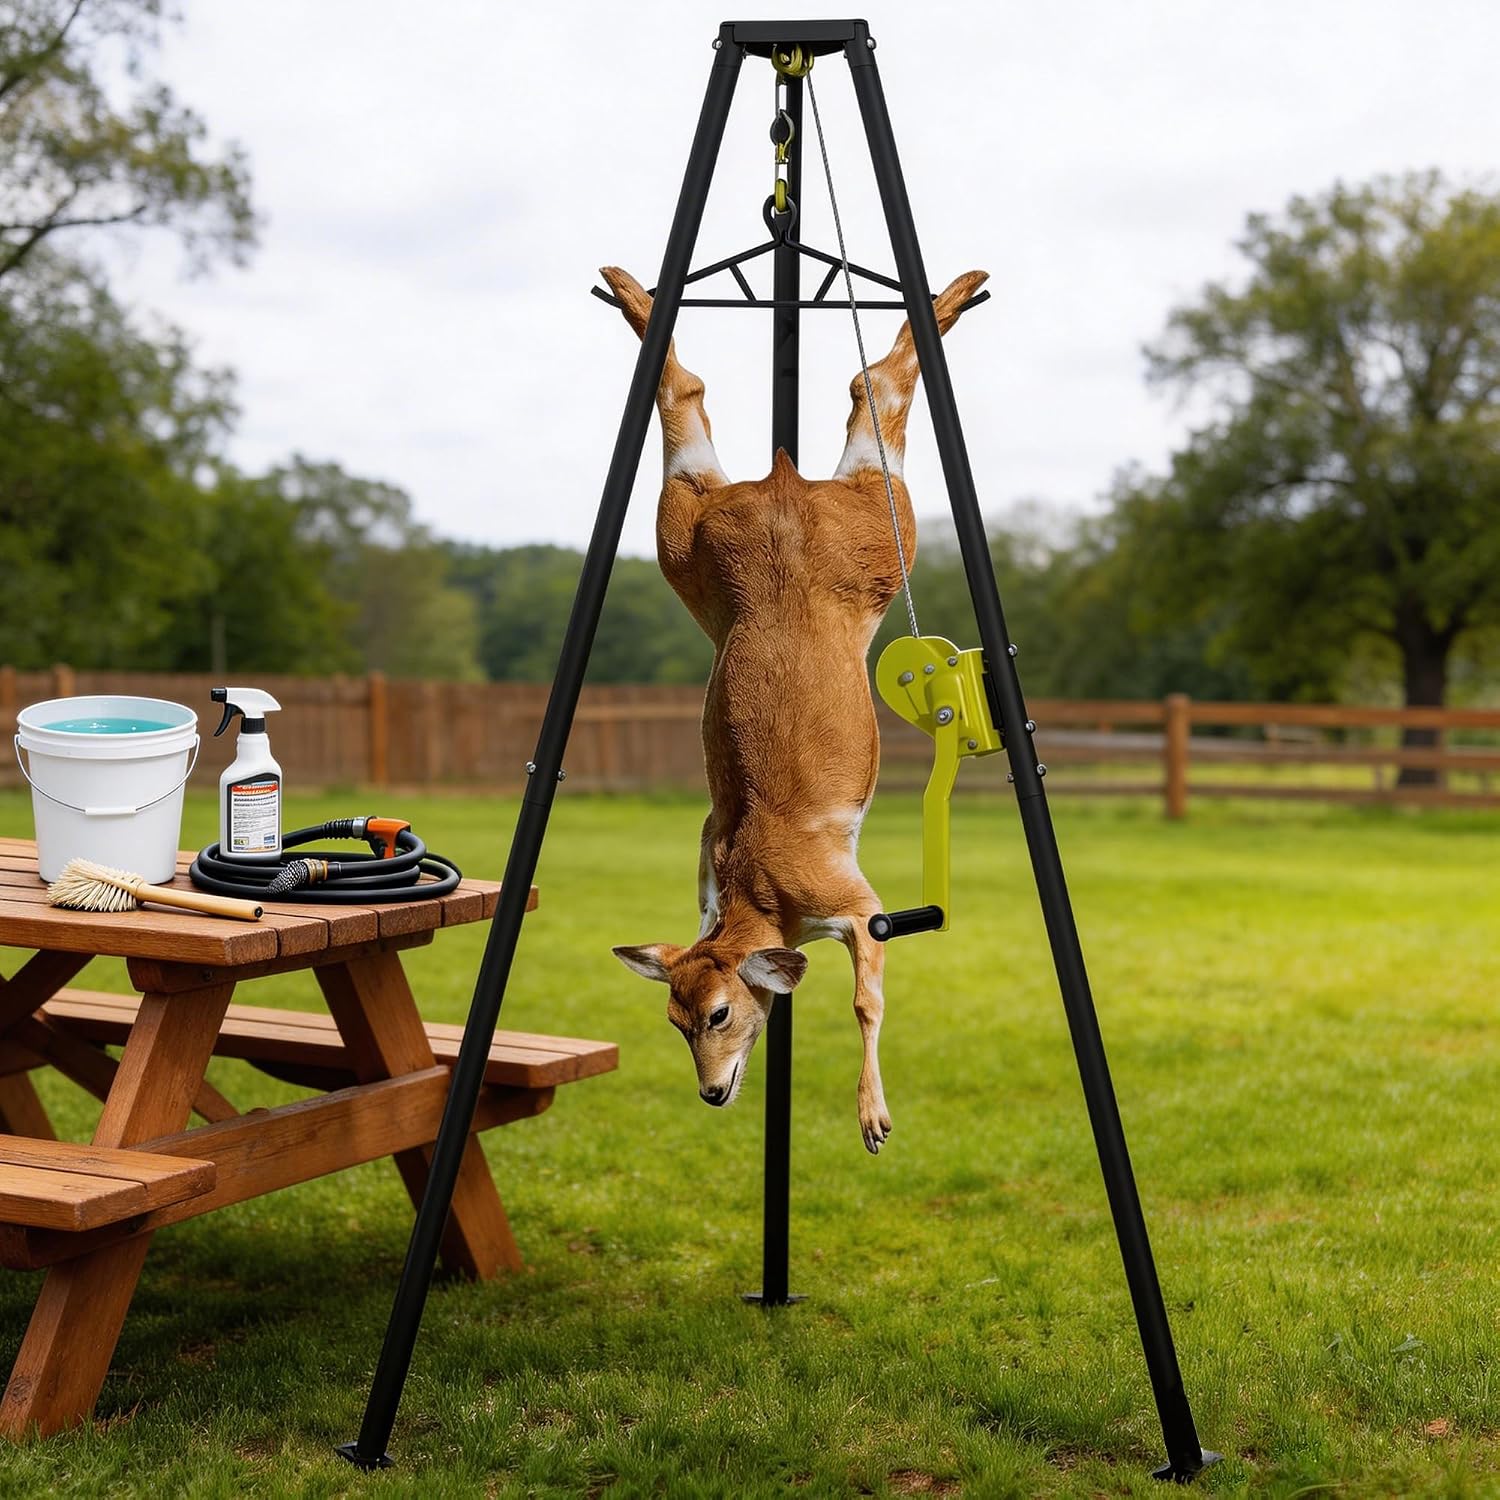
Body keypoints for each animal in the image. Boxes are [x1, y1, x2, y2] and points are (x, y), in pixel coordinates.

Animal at [605, 263, 988, 1154]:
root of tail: (783, 483)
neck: (765, 898)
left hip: (877, 529)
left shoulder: (858, 901)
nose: (711, 1093)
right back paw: (632, 292)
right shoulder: (708, 856)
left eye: (718, 1014)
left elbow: (865, 999)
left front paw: (874, 1119)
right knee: (702, 403)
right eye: (672, 1021)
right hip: (695, 540)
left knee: (871, 392)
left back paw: (956, 293)